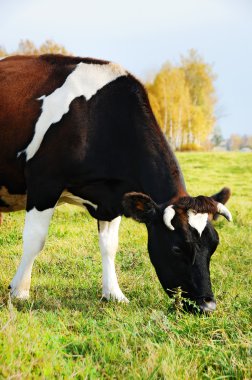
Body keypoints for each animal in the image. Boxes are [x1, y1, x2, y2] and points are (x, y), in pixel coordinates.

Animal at [0, 55, 231, 314]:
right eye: (177, 248)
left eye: (214, 245)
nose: (207, 306)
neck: (95, 118)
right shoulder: (44, 182)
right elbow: (35, 240)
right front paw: (19, 291)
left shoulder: (113, 198)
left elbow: (110, 246)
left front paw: (113, 294)